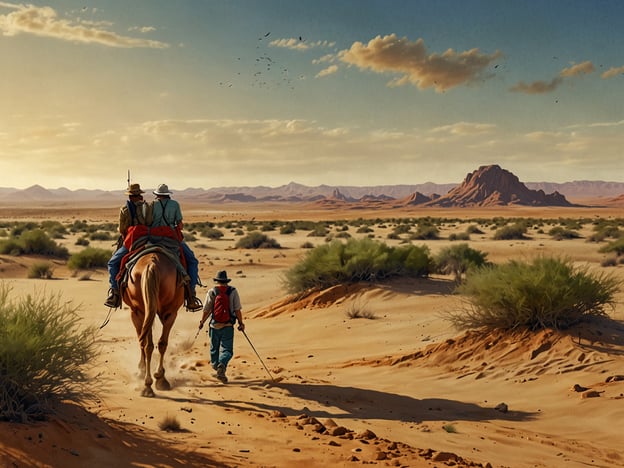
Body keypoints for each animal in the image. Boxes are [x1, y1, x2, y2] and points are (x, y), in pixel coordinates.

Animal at [120, 250, 183, 396]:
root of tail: (151, 264)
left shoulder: (135, 312)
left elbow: (142, 341)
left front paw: (141, 370)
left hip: (143, 310)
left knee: (148, 344)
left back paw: (149, 384)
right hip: (167, 312)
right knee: (159, 343)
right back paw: (157, 381)